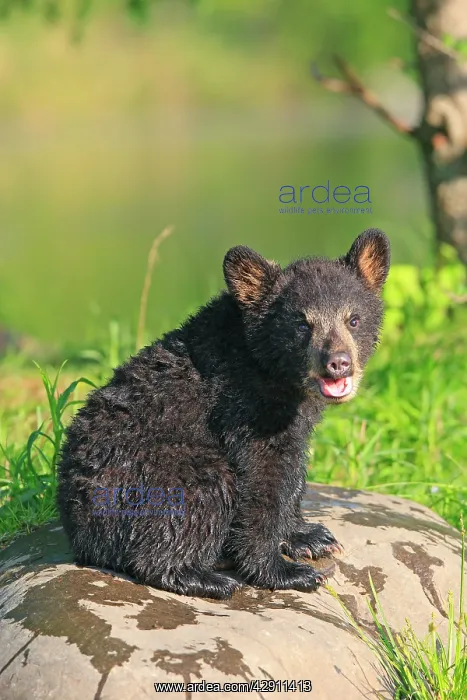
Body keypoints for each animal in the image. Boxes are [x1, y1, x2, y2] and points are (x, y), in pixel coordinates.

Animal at [57, 228, 390, 600]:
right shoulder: (241, 406)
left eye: (354, 319)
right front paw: (283, 571)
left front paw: (309, 537)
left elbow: (292, 470)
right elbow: (262, 477)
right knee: (197, 495)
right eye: (302, 324)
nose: (338, 363)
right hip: (144, 478)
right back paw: (204, 577)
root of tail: (78, 527)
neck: (269, 370)